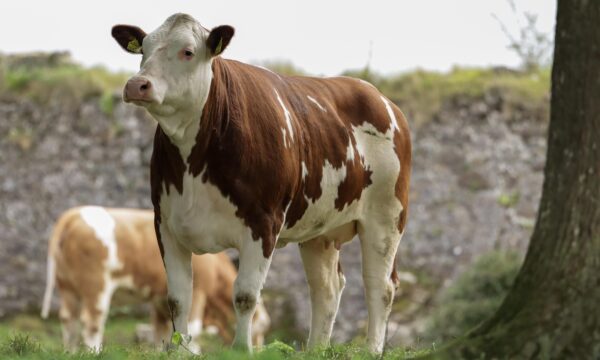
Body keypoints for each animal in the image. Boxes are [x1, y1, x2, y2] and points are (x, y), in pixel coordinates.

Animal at [39, 207, 270, 352]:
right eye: (260, 329)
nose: (260, 352)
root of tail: (73, 214)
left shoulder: (160, 300)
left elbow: (163, 331)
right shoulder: (199, 291)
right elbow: (192, 329)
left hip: (68, 287)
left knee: (69, 320)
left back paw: (70, 352)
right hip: (96, 287)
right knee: (92, 322)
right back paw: (93, 352)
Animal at [112, 12, 410, 352]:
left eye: (187, 51)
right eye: (143, 49)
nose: (137, 84)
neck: (194, 161)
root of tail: (380, 97)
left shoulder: (262, 222)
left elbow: (245, 295)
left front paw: (241, 350)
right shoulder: (165, 223)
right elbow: (177, 299)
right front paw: (179, 352)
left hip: (386, 217)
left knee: (380, 286)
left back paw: (372, 348)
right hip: (319, 230)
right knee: (327, 288)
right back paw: (315, 349)